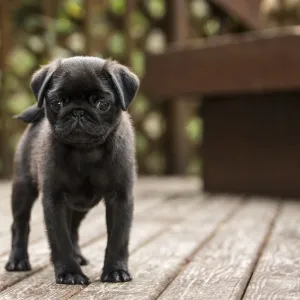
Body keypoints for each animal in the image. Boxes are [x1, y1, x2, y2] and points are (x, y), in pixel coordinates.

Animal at [4, 56, 139, 286]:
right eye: (57, 103)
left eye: (102, 104)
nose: (78, 112)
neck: (85, 153)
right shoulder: (54, 200)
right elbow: (60, 238)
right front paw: (69, 272)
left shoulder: (120, 198)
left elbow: (118, 238)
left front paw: (115, 270)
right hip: (23, 188)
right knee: (20, 224)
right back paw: (18, 260)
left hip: (80, 206)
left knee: (74, 228)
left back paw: (78, 255)